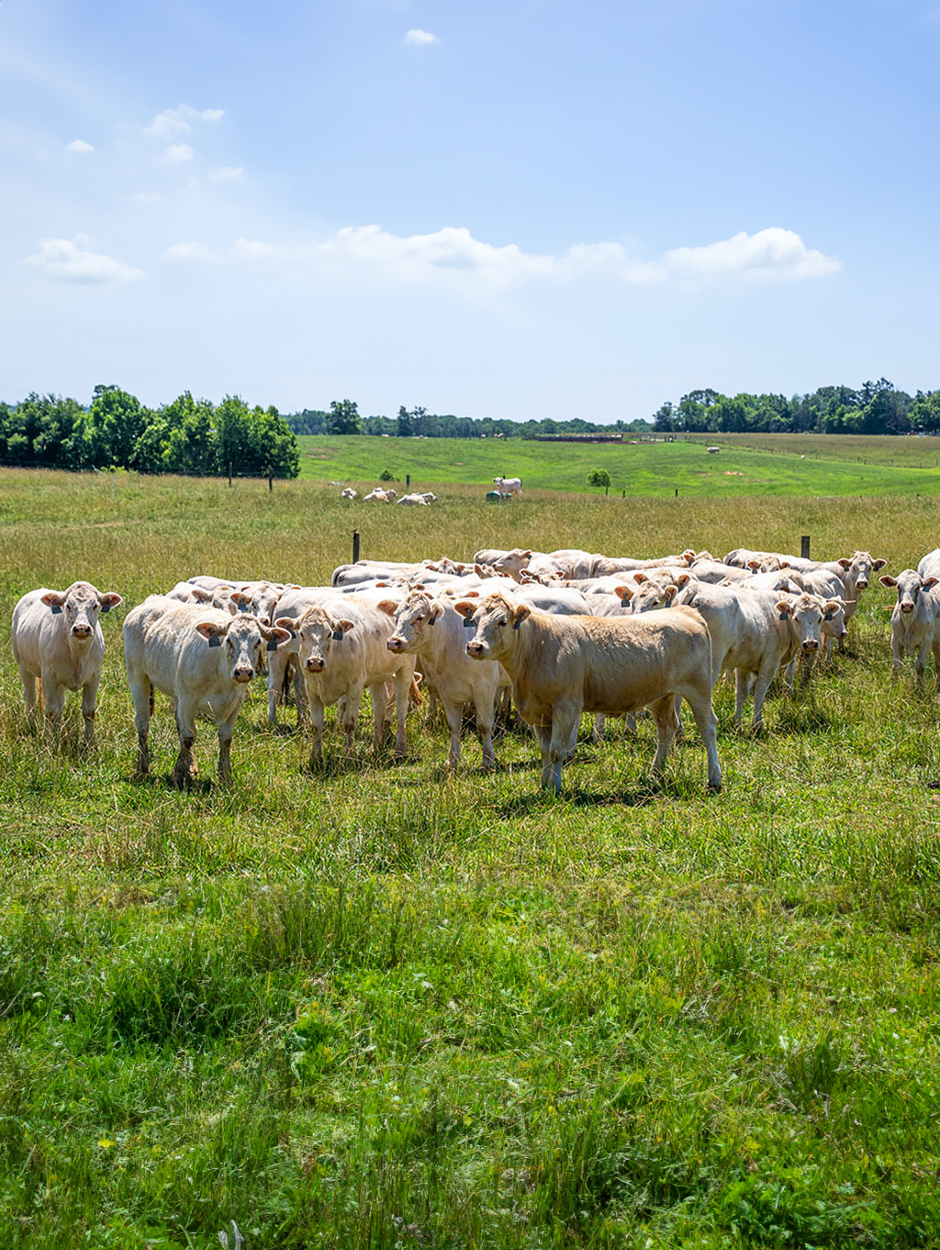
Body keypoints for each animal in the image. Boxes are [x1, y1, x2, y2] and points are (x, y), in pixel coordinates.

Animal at [11, 582, 123, 745]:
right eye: (68, 606)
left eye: (95, 605)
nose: (81, 628)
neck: (78, 654)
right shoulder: (49, 676)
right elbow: (50, 712)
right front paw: (49, 742)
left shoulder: (94, 676)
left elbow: (89, 711)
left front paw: (89, 742)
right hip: (23, 666)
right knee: (31, 697)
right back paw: (31, 725)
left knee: (60, 702)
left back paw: (58, 729)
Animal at [125, 592, 288, 780]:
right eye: (229, 640)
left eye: (257, 642)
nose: (243, 671)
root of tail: (150, 600)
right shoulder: (188, 699)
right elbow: (188, 736)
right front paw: (180, 774)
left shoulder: (236, 704)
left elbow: (225, 738)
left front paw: (225, 776)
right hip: (137, 677)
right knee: (142, 722)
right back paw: (143, 766)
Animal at [455, 592, 720, 790]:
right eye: (475, 621)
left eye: (502, 621)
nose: (475, 646)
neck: (537, 647)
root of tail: (685, 611)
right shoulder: (538, 712)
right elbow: (544, 752)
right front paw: (544, 785)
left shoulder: (566, 707)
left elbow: (556, 751)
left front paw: (555, 789)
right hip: (662, 695)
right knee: (666, 729)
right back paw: (655, 774)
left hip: (699, 689)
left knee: (708, 729)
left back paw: (714, 778)